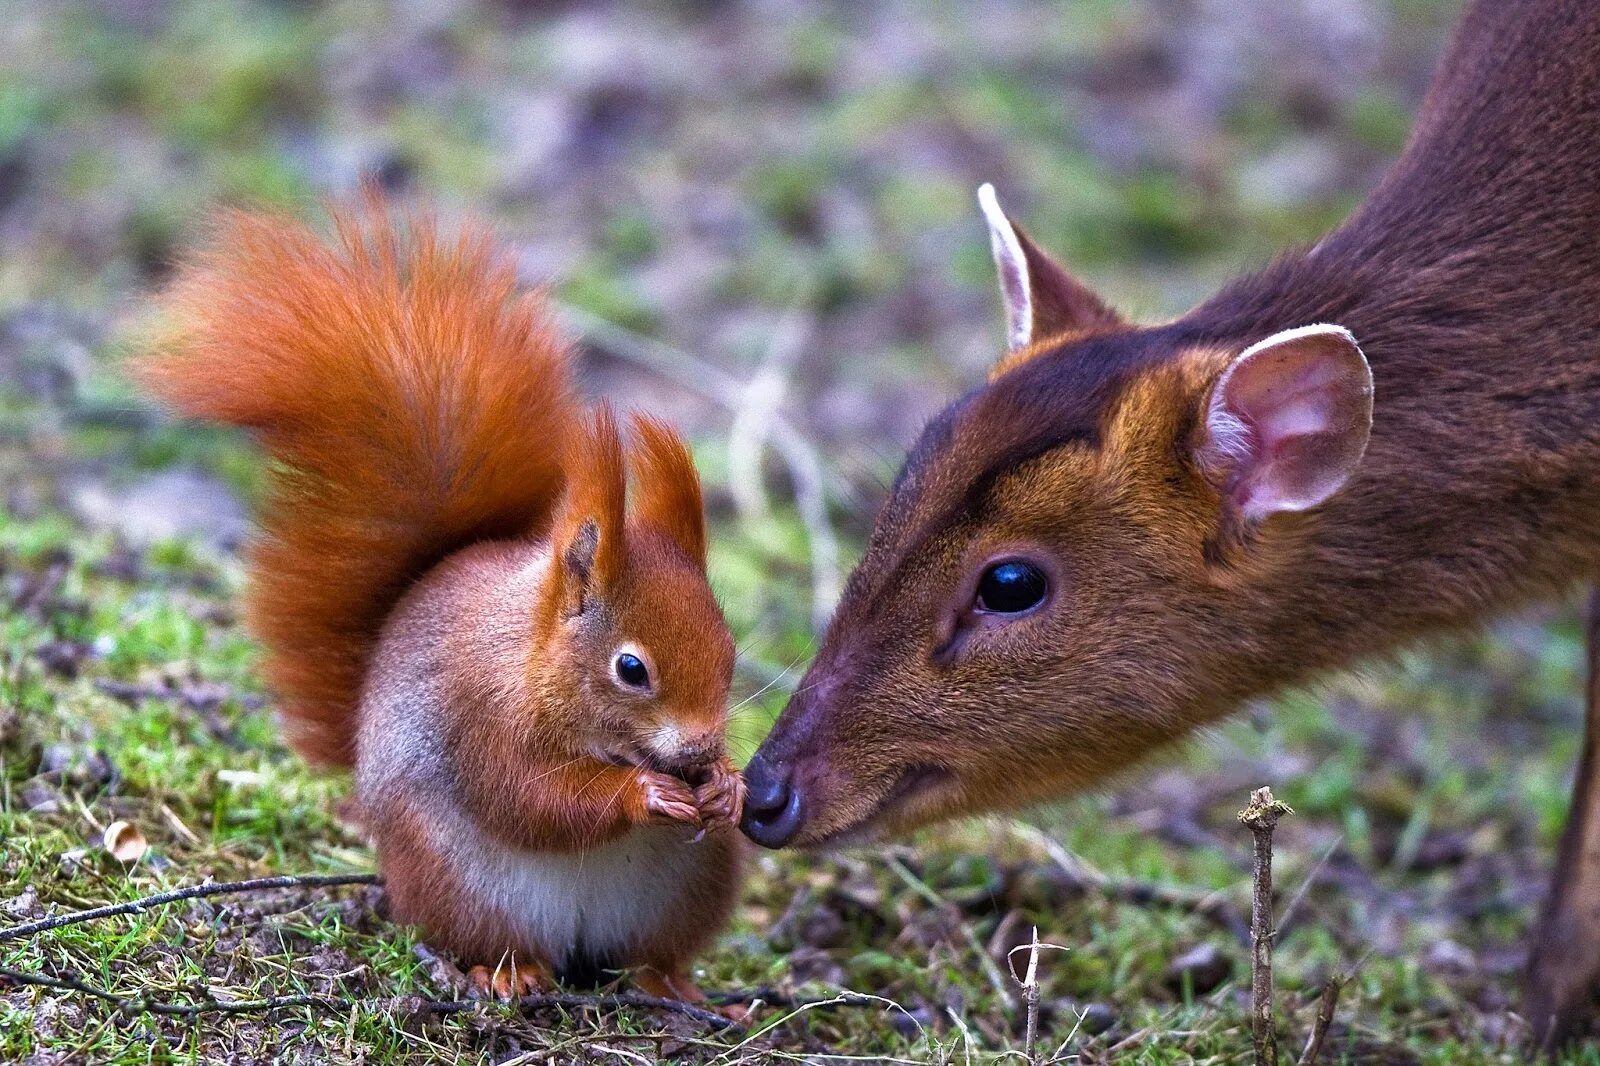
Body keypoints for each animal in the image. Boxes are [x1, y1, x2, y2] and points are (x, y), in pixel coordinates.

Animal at [134, 201, 745, 1005]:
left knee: (650, 954)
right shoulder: (481, 715)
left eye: (731, 653)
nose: (702, 749)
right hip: (454, 877)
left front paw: (729, 786)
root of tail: (579, 943)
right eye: (631, 669)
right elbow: (530, 799)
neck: (533, 661)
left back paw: (672, 985)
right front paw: (644, 793)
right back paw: (511, 972)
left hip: (693, 883)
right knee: (491, 935)